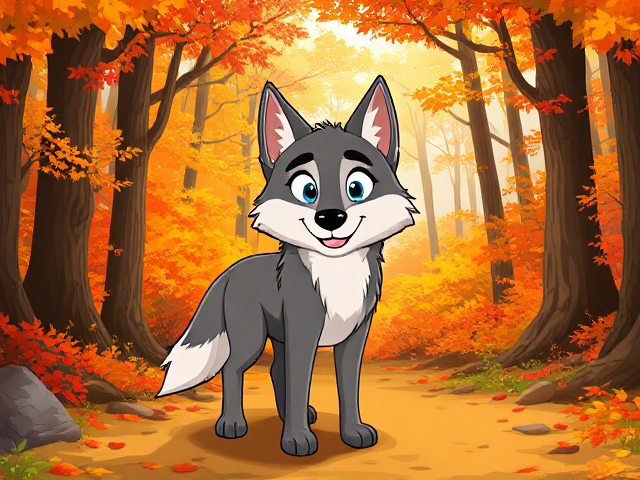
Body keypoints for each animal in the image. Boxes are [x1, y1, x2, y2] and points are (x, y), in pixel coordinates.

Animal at [156, 75, 417, 456]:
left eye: (356, 187)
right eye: (307, 190)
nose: (330, 218)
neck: (338, 277)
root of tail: (231, 271)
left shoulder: (354, 336)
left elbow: (347, 389)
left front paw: (352, 432)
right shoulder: (302, 331)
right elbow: (297, 382)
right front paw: (296, 440)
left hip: (275, 336)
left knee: (274, 371)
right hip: (252, 338)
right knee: (234, 369)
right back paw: (232, 424)